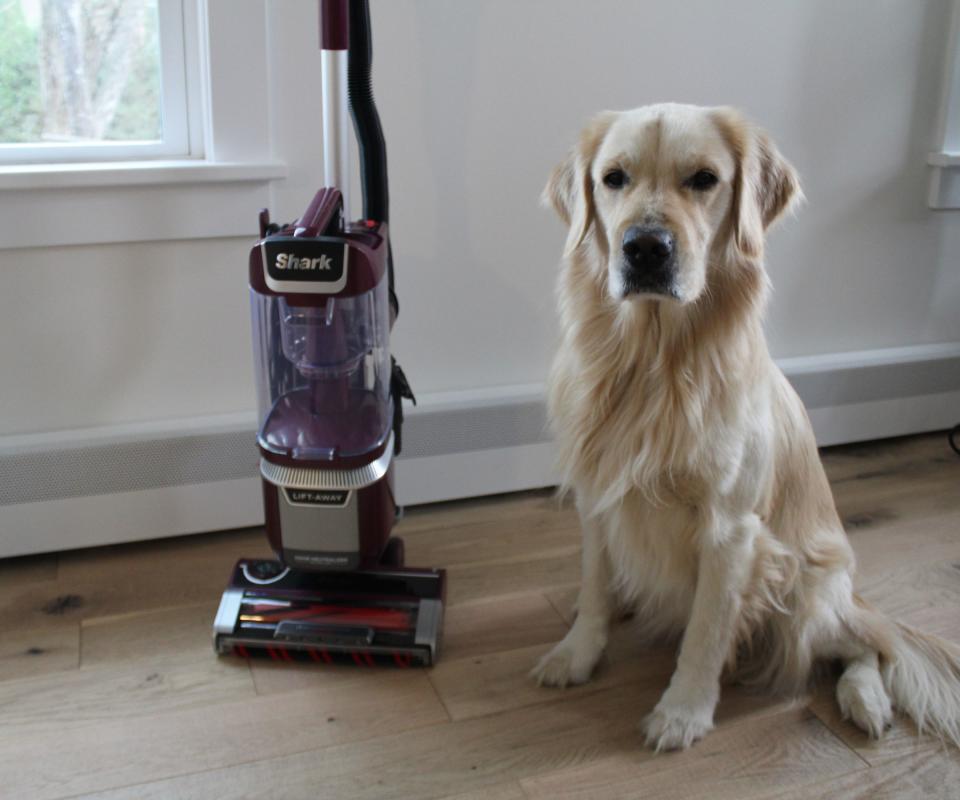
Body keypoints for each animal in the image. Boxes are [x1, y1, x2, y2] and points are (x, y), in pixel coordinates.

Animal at [532, 104, 960, 752]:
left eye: (705, 179)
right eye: (613, 179)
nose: (644, 248)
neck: (654, 363)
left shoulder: (731, 531)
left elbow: (706, 633)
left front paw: (683, 711)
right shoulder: (598, 496)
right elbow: (594, 588)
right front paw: (576, 653)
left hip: (805, 594)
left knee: (871, 643)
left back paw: (865, 699)